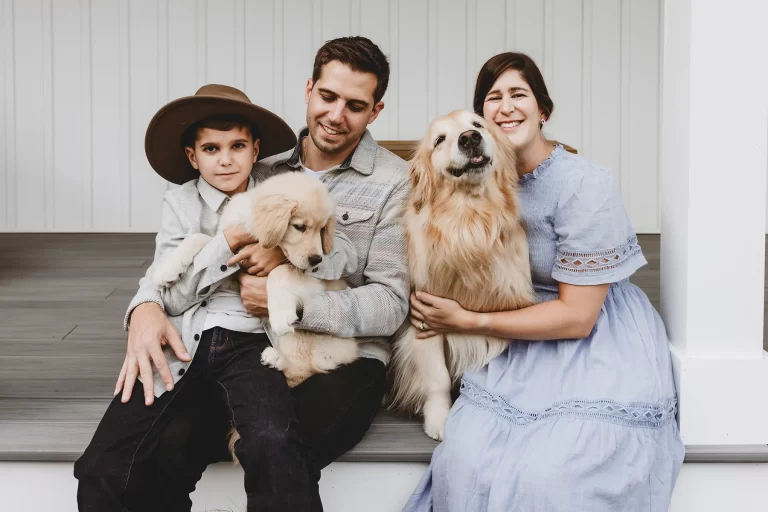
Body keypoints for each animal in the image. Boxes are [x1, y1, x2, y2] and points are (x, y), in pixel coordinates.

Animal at [390, 111, 536, 440]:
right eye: (439, 139)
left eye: (478, 124)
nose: (469, 138)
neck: (469, 221)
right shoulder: (423, 319)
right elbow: (437, 378)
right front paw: (439, 419)